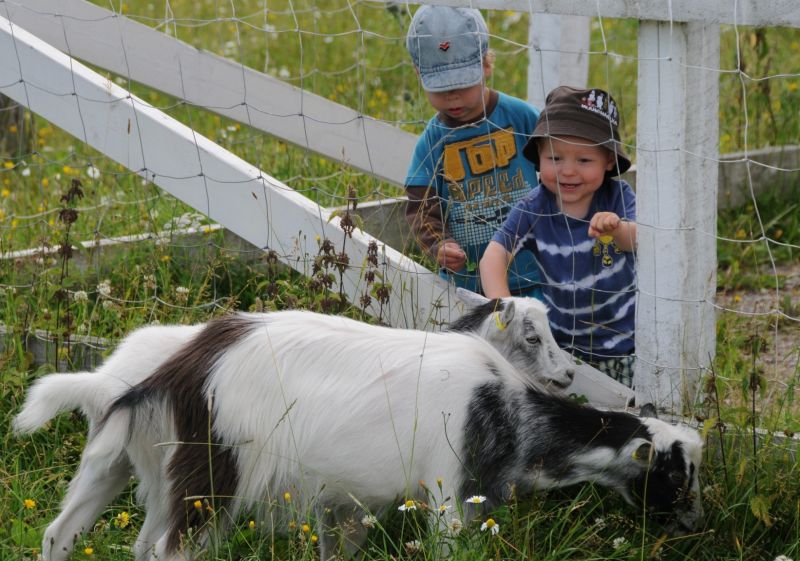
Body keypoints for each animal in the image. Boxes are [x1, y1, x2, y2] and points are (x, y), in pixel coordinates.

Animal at [10, 302, 700, 560]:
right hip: (210, 474)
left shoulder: (346, 504)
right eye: (676, 471)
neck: (508, 407)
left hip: (129, 466)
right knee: (166, 551)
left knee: (67, 534)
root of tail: (184, 366)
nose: (696, 525)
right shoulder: (449, 496)